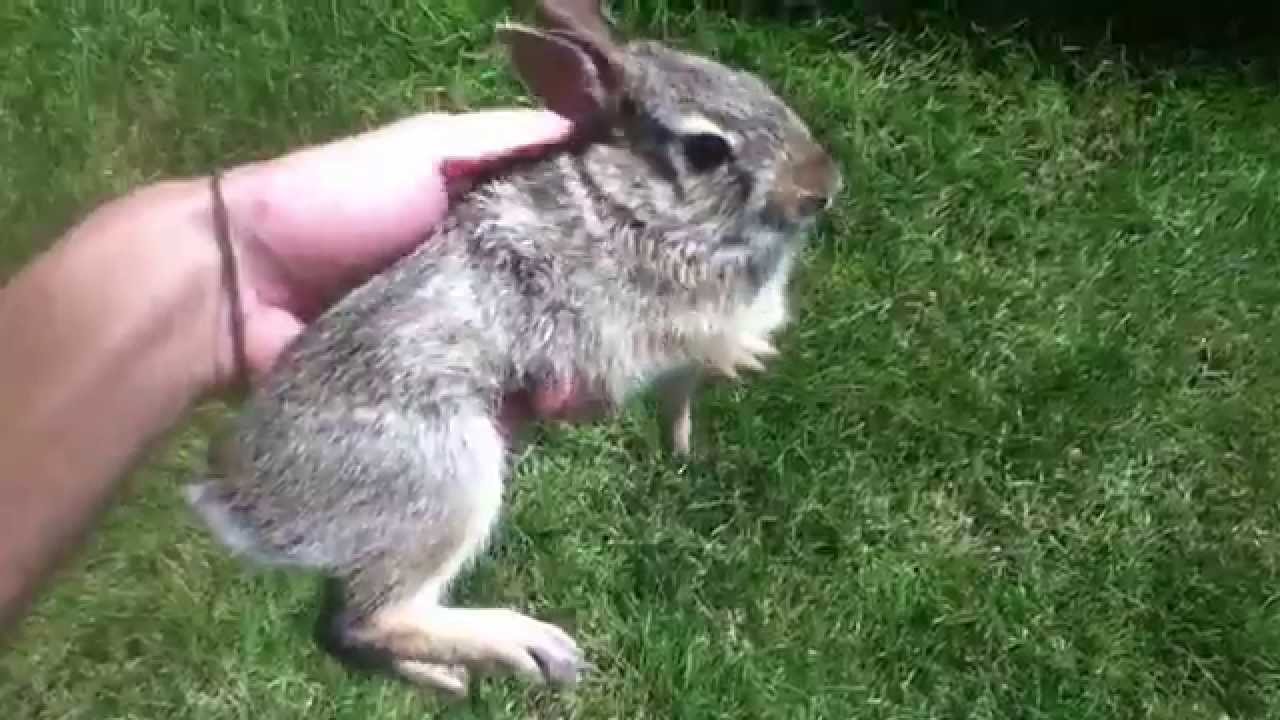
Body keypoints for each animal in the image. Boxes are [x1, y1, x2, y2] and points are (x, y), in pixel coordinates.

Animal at [185, 0, 841, 699]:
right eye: (707, 149)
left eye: (752, 80)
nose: (823, 185)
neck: (631, 201)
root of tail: (237, 506)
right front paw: (747, 353)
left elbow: (680, 398)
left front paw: (685, 445)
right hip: (443, 476)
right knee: (372, 616)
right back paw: (529, 648)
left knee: (341, 632)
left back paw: (446, 678)